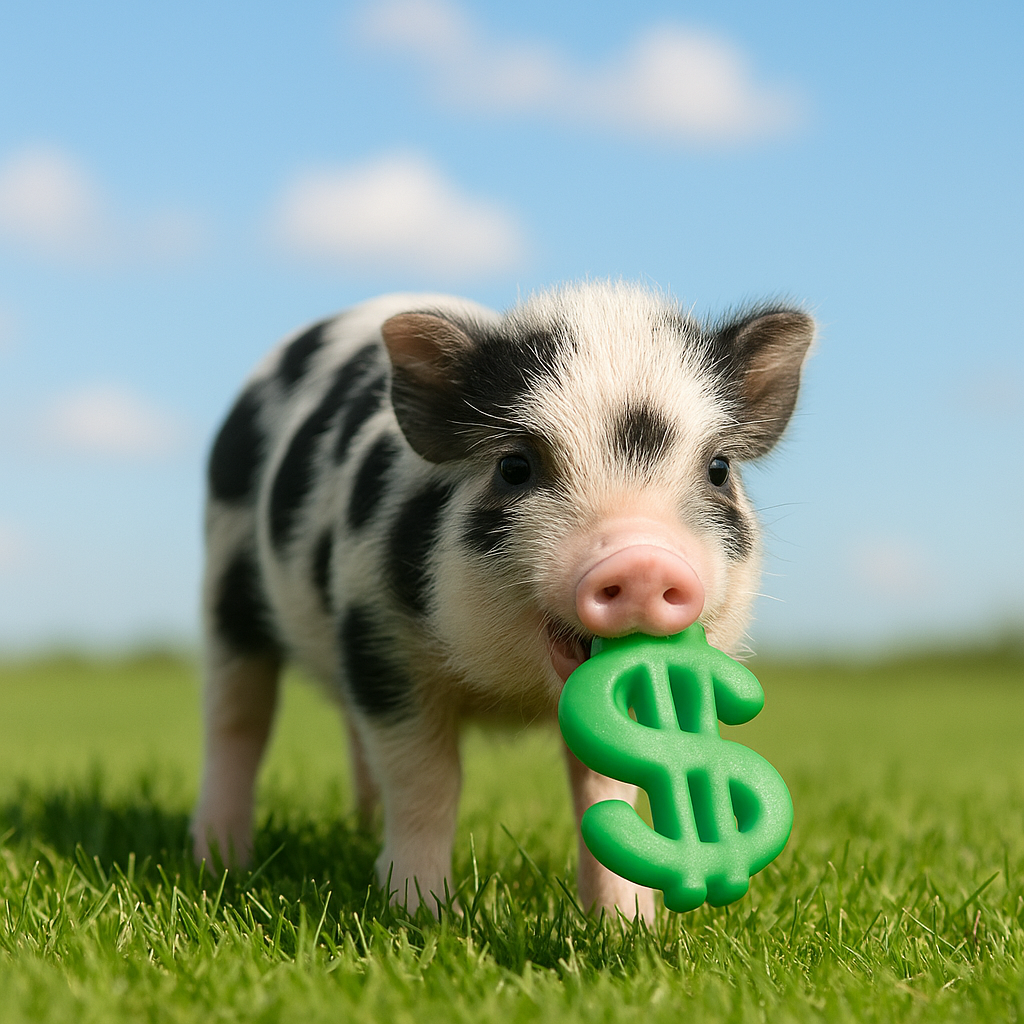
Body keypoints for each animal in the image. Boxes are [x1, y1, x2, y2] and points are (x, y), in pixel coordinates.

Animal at [190, 281, 814, 918]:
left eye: (719, 469)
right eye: (515, 465)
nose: (642, 560)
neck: (513, 693)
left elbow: (607, 787)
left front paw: (628, 924)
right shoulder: (378, 638)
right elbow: (427, 782)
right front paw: (421, 917)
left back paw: (357, 833)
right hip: (225, 573)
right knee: (237, 721)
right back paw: (221, 862)